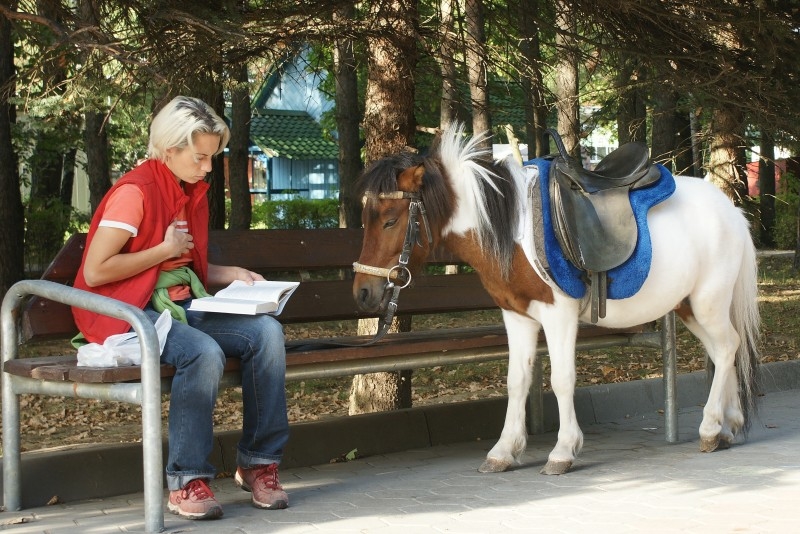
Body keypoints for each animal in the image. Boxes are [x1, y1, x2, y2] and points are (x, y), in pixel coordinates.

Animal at [354, 123, 760, 476]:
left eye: (390, 220)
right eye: (364, 219)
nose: (362, 292)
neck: (511, 227)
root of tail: (732, 210)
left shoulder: (558, 314)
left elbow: (563, 379)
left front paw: (563, 452)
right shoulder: (516, 315)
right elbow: (516, 380)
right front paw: (503, 452)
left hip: (708, 302)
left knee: (727, 348)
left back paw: (711, 428)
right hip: (689, 306)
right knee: (726, 349)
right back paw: (729, 425)